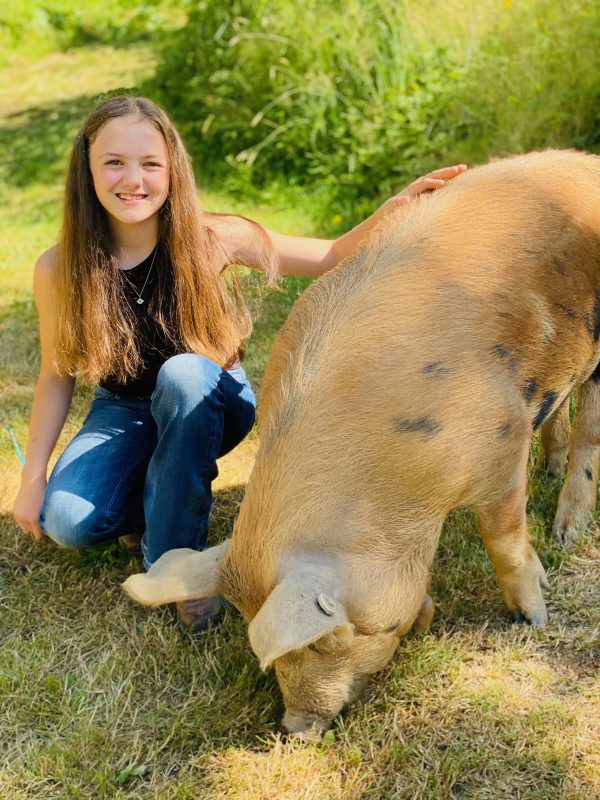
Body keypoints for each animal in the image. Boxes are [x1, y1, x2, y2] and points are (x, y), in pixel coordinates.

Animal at [122, 150, 600, 736]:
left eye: (327, 638)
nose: (295, 727)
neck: (399, 490)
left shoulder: (501, 445)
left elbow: (503, 539)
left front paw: (532, 617)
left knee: (589, 427)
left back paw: (566, 534)